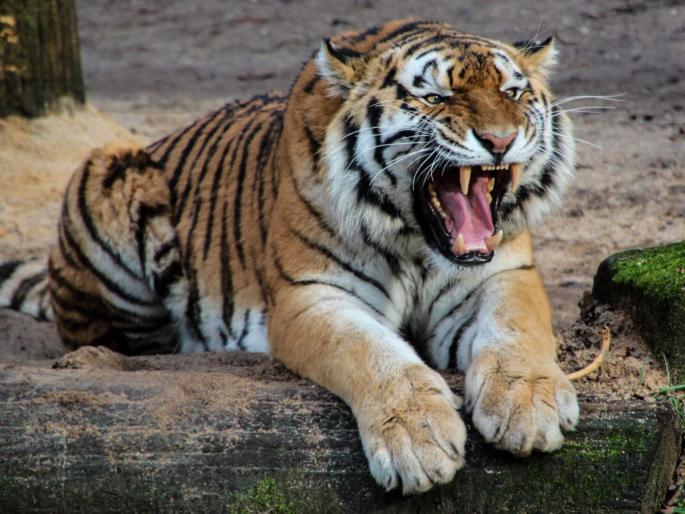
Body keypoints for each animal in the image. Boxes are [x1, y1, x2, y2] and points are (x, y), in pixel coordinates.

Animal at [0, 19, 579, 494]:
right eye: (435, 97)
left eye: (512, 92)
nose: (500, 140)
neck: (417, 241)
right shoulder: (312, 294)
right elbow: (372, 353)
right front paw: (418, 438)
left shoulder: (504, 273)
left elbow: (517, 329)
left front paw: (529, 405)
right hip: (108, 170)